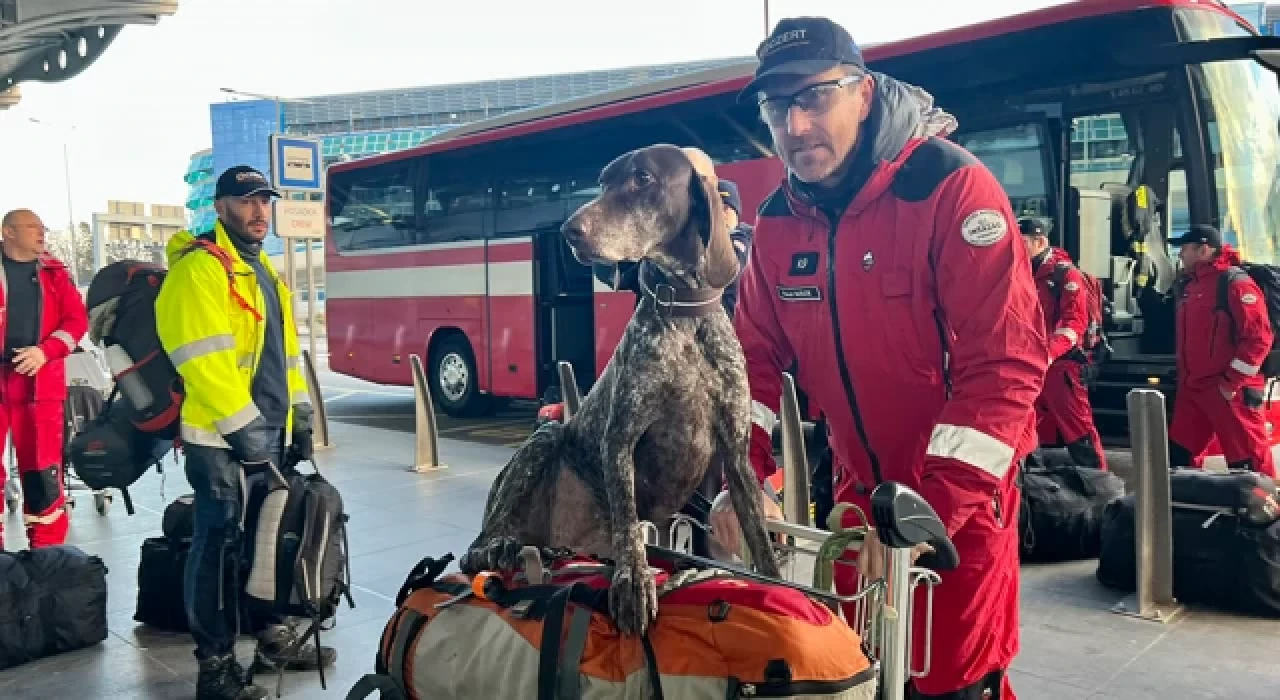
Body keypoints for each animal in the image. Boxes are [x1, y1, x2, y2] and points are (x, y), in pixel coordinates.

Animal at [460, 142, 778, 634]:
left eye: (642, 179)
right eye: (603, 181)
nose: (570, 231)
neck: (684, 314)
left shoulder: (735, 451)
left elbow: (758, 535)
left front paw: (777, 580)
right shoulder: (621, 438)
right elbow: (628, 520)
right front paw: (633, 579)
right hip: (545, 438)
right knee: (477, 546)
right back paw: (499, 546)